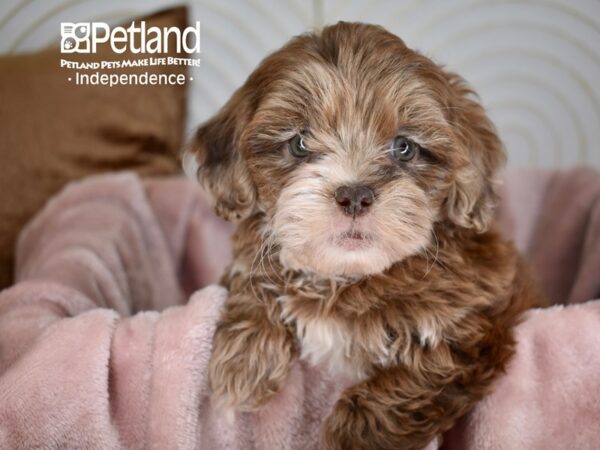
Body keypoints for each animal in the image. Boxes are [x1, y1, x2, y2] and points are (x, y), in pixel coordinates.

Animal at [191, 21, 544, 450]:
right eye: (300, 143)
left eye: (405, 147)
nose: (355, 195)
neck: (348, 276)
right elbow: (250, 276)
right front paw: (243, 364)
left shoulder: (475, 327)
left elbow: (415, 380)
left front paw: (352, 436)